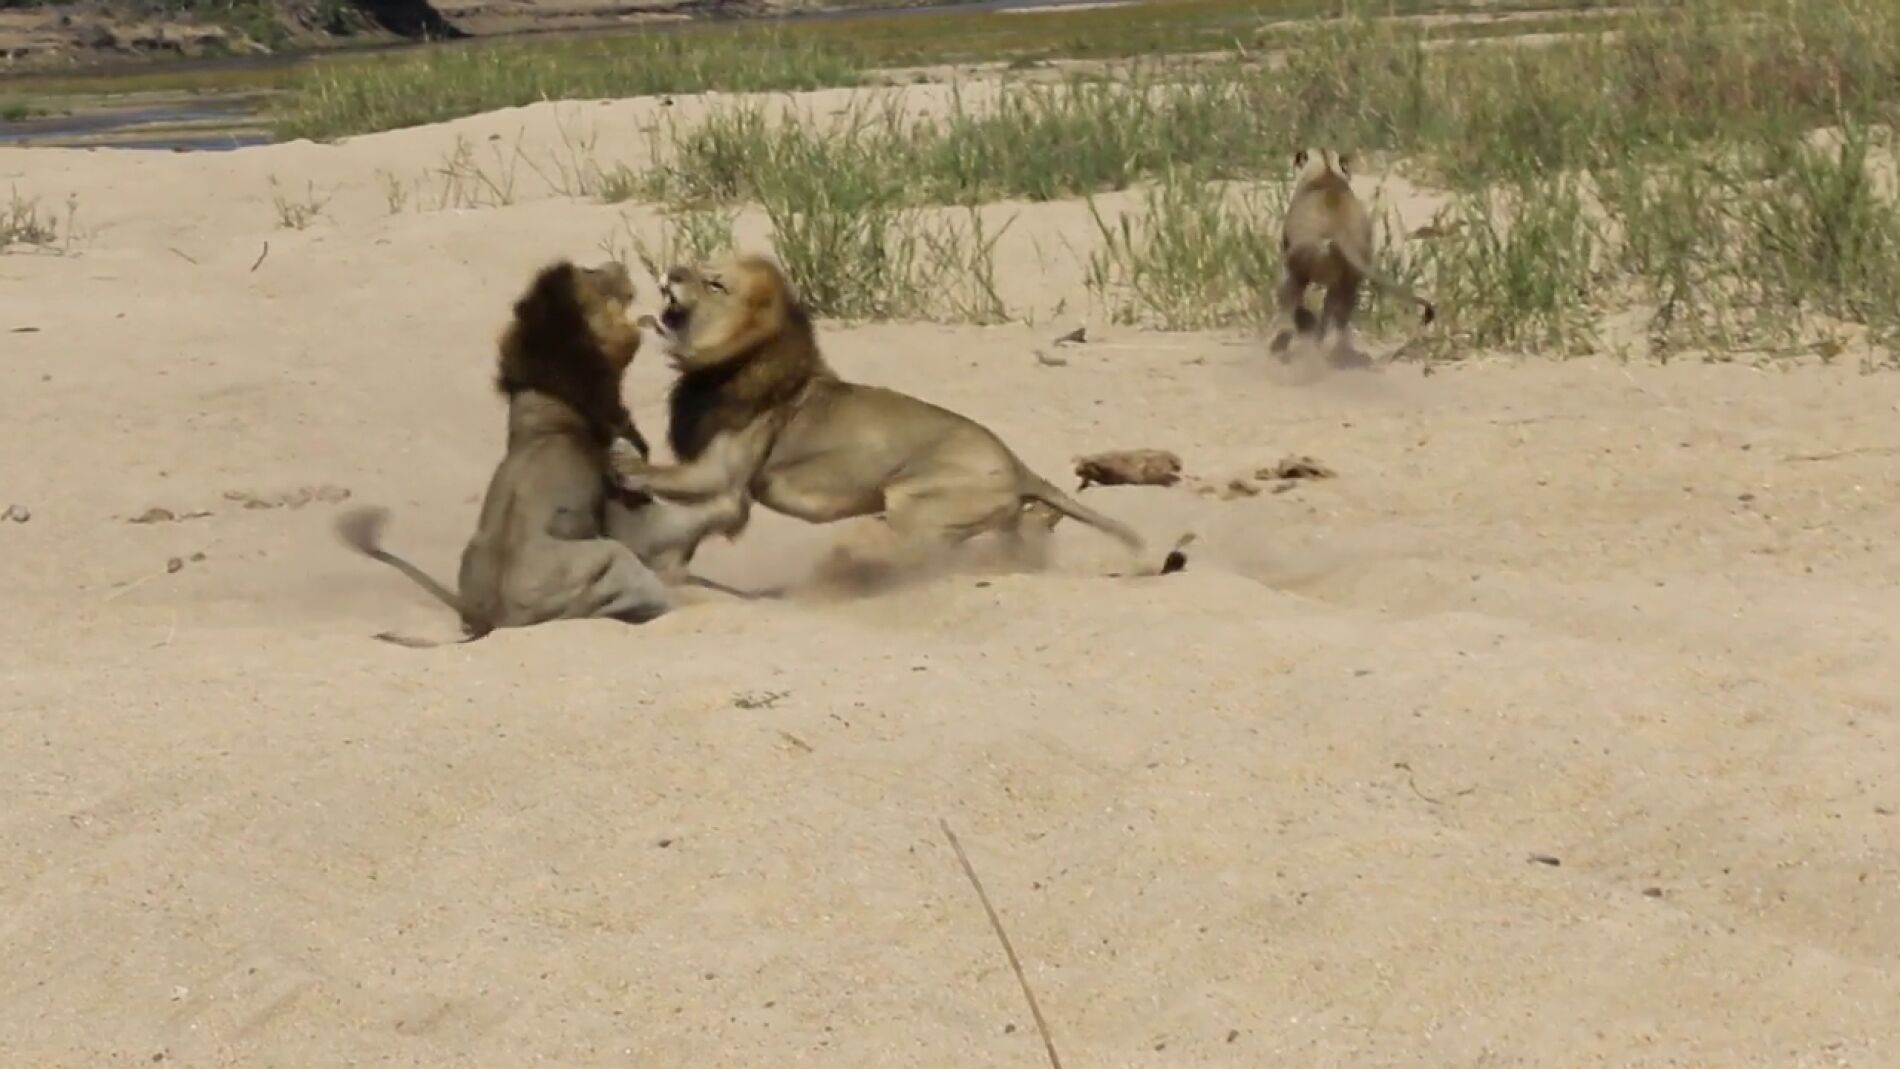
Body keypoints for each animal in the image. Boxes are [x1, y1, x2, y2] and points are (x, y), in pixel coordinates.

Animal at [334, 258, 680, 646]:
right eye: (593, 275)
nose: (618, 264)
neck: (552, 402)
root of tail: (493, 619)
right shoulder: (623, 499)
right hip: (610, 558)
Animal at [606, 251, 1189, 584]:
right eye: (696, 264)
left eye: (715, 284)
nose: (670, 271)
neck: (731, 362)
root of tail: (1018, 465)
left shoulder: (724, 479)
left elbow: (673, 485)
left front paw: (623, 463)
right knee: (1015, 534)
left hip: (911, 504)